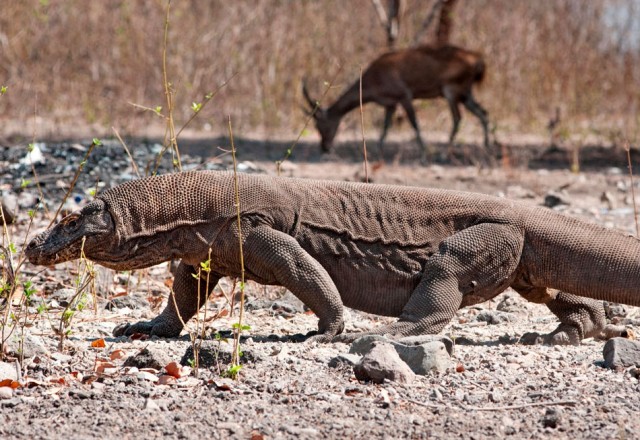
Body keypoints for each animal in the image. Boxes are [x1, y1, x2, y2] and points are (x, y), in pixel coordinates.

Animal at [304, 44, 490, 162]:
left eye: (320, 125)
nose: (325, 148)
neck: (374, 76)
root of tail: (478, 59)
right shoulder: (390, 104)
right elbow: (385, 128)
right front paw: (374, 154)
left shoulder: (404, 97)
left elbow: (414, 124)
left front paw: (424, 157)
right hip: (465, 95)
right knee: (483, 113)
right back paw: (489, 146)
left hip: (451, 93)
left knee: (457, 119)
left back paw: (444, 155)